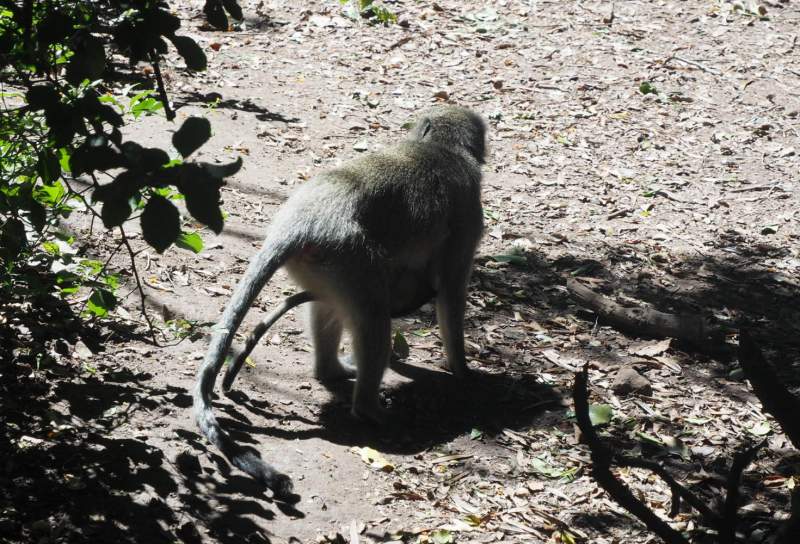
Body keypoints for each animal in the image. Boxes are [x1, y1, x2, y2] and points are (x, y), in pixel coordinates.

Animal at [194, 105, 488, 502]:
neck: (443, 148)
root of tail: (300, 221)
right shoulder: (469, 209)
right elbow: (453, 290)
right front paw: (463, 370)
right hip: (349, 254)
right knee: (375, 319)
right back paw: (370, 410)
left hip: (323, 263)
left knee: (330, 307)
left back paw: (330, 371)